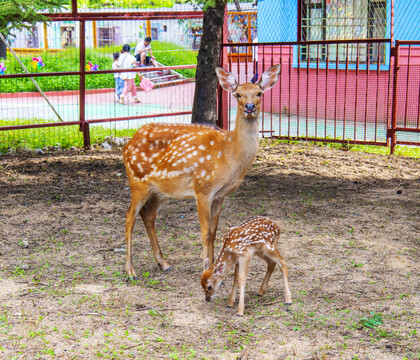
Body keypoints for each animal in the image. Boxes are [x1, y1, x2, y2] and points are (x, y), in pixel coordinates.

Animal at [123, 64, 280, 278]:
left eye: (259, 93)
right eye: (238, 94)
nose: (249, 107)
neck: (229, 156)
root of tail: (127, 145)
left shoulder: (220, 195)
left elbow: (213, 233)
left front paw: (215, 269)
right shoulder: (202, 188)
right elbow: (205, 233)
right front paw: (205, 268)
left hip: (160, 191)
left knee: (147, 215)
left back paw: (163, 263)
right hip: (137, 180)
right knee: (129, 217)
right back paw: (130, 271)